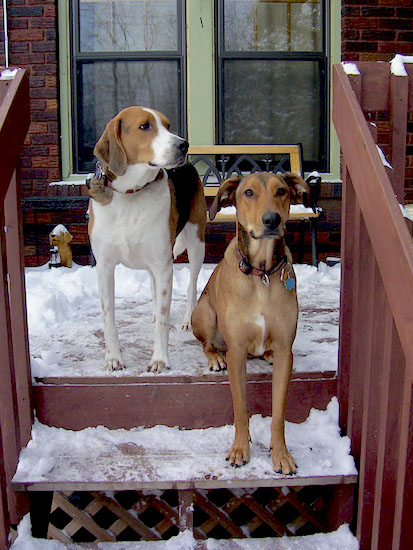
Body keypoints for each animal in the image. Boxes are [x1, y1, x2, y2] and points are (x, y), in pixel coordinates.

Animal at [89, 106, 208, 376]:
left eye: (168, 125)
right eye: (145, 126)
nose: (184, 145)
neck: (130, 194)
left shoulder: (163, 265)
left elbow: (163, 321)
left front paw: (160, 359)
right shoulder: (104, 267)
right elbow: (108, 318)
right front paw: (113, 358)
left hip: (197, 243)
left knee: (192, 285)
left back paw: (187, 319)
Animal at [192, 174, 308, 478]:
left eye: (281, 191)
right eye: (248, 192)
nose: (272, 219)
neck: (262, 274)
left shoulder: (285, 349)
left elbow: (278, 413)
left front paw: (281, 454)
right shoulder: (237, 352)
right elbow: (241, 409)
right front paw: (240, 449)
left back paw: (265, 354)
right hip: (204, 312)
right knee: (206, 343)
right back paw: (214, 358)